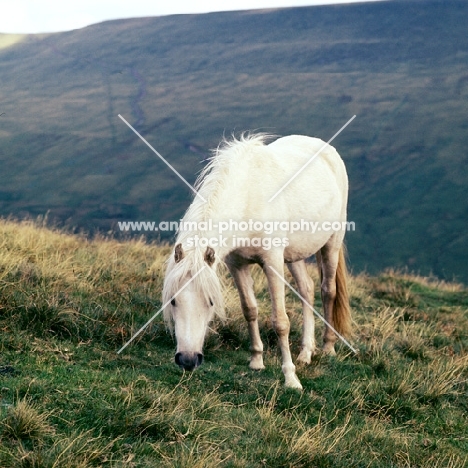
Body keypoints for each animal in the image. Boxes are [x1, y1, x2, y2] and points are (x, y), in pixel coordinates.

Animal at [163, 133, 350, 390]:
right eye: (173, 300)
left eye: (211, 302)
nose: (188, 360)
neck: (248, 196)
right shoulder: (237, 265)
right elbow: (250, 310)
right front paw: (256, 361)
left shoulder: (272, 262)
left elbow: (280, 321)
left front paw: (290, 378)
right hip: (294, 255)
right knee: (306, 289)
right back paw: (305, 353)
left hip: (332, 243)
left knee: (328, 290)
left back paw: (328, 347)